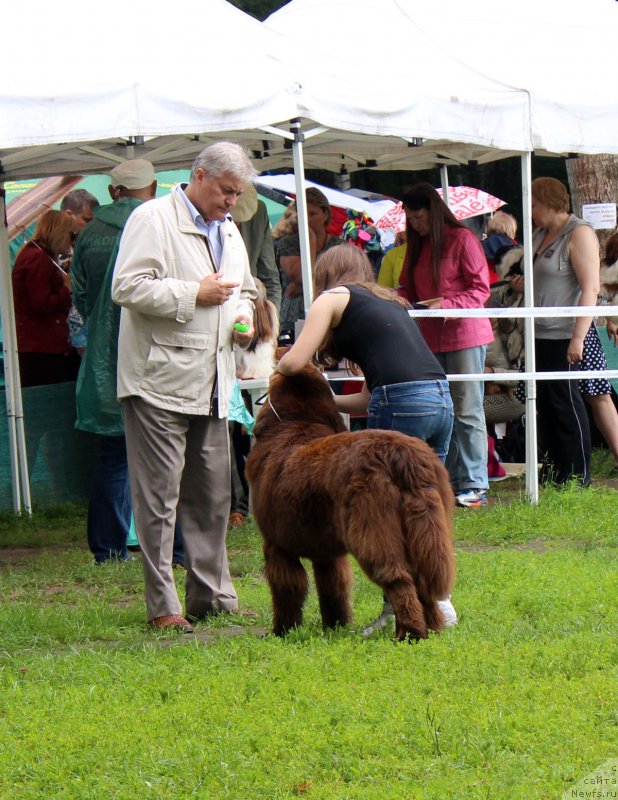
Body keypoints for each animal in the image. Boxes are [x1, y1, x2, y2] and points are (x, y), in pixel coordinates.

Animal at [244, 366, 452, 640]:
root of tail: (401, 456)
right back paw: (432, 628)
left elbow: (287, 589)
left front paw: (283, 630)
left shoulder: (277, 546)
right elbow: (334, 586)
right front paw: (335, 626)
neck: (296, 423)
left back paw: (410, 633)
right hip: (426, 529)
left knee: (398, 579)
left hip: (372, 531)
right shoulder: (327, 553)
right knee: (422, 581)